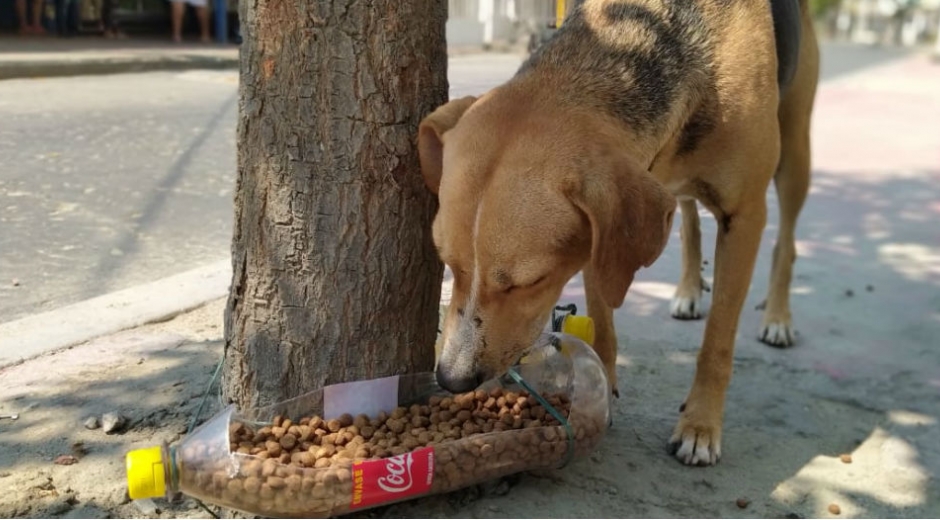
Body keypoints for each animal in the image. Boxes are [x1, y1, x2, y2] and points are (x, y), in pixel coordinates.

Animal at [418, 0, 816, 468]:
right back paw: (688, 290)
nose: (451, 378)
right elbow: (603, 320)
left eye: (530, 282)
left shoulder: (745, 215)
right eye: (449, 265)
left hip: (795, 152)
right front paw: (603, 390)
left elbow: (717, 342)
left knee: (786, 243)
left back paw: (778, 318)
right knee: (688, 218)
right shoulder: (598, 236)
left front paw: (700, 426)